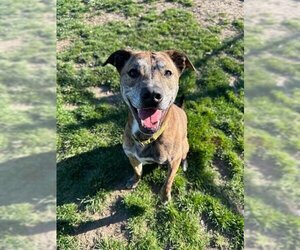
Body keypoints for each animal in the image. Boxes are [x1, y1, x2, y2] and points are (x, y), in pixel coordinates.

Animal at [103, 49, 197, 202]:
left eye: (168, 73)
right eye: (133, 72)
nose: (152, 95)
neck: (146, 137)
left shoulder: (173, 162)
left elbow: (168, 181)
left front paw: (165, 196)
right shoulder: (132, 156)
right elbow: (137, 171)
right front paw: (134, 181)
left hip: (185, 146)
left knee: (184, 156)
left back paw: (184, 164)